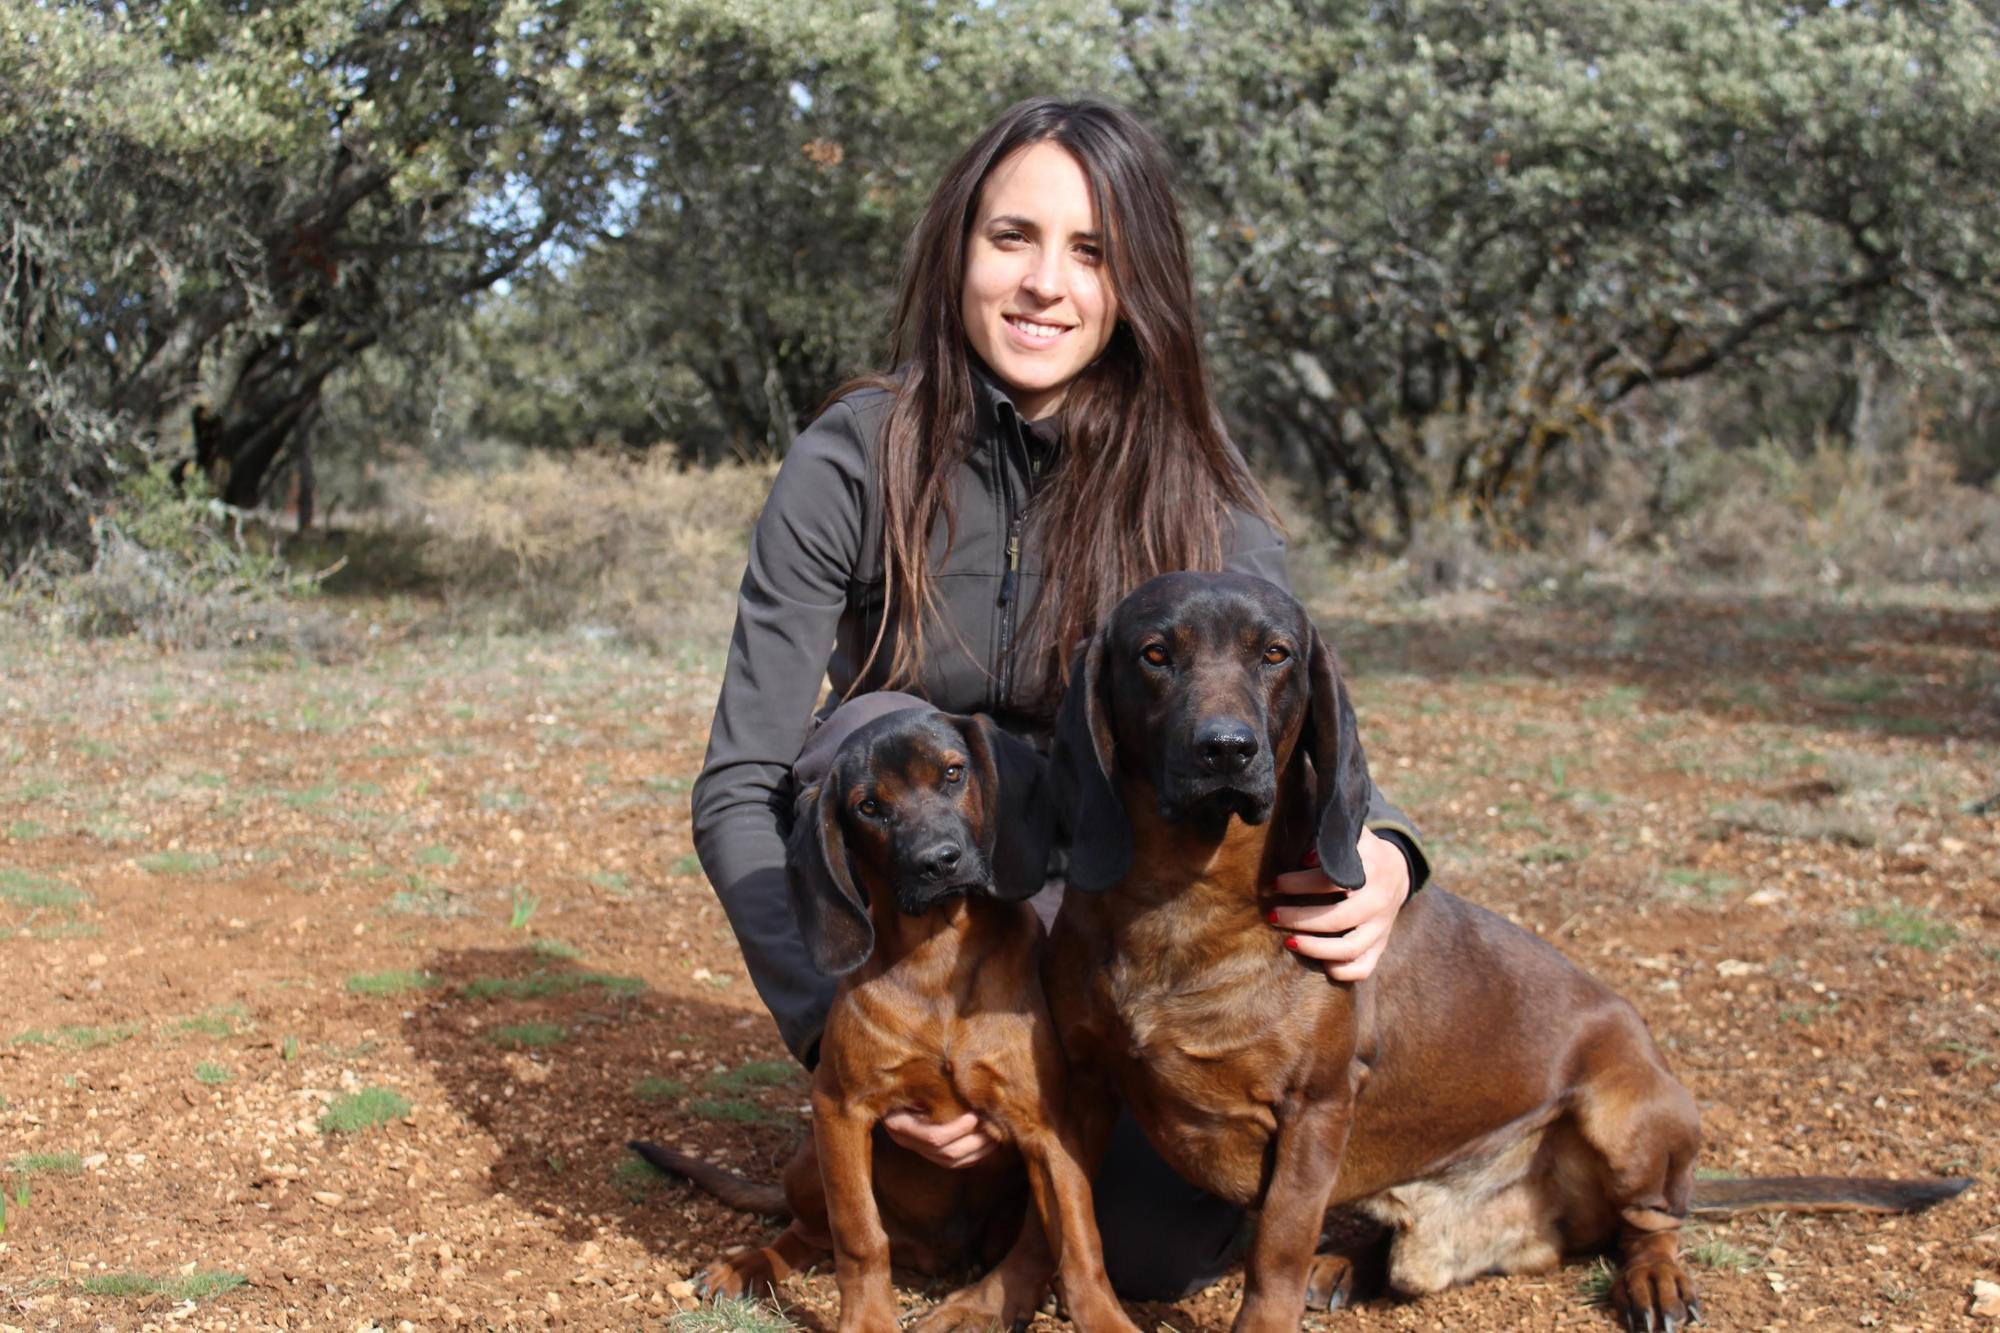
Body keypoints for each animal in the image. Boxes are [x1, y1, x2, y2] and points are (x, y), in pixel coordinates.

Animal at [632, 712, 1136, 1328]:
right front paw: (867, 1320)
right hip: (810, 1160)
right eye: (869, 806)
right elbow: (859, 1236)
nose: (938, 861)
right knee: (809, 1233)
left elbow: (1080, 1242)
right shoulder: (839, 1110)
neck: (936, 959)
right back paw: (747, 1266)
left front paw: (1105, 1318)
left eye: (953, 772)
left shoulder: (1047, 1127)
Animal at [1048, 572, 1968, 1328]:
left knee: (1653, 1223)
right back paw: (1344, 1260)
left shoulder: (1315, 1108)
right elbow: (1075, 1223)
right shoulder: (1078, 1086)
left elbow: (1272, 1255)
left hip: (1630, 1110)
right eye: (1155, 655)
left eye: (1274, 654)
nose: (1225, 748)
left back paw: (1655, 1281)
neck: (1188, 900)